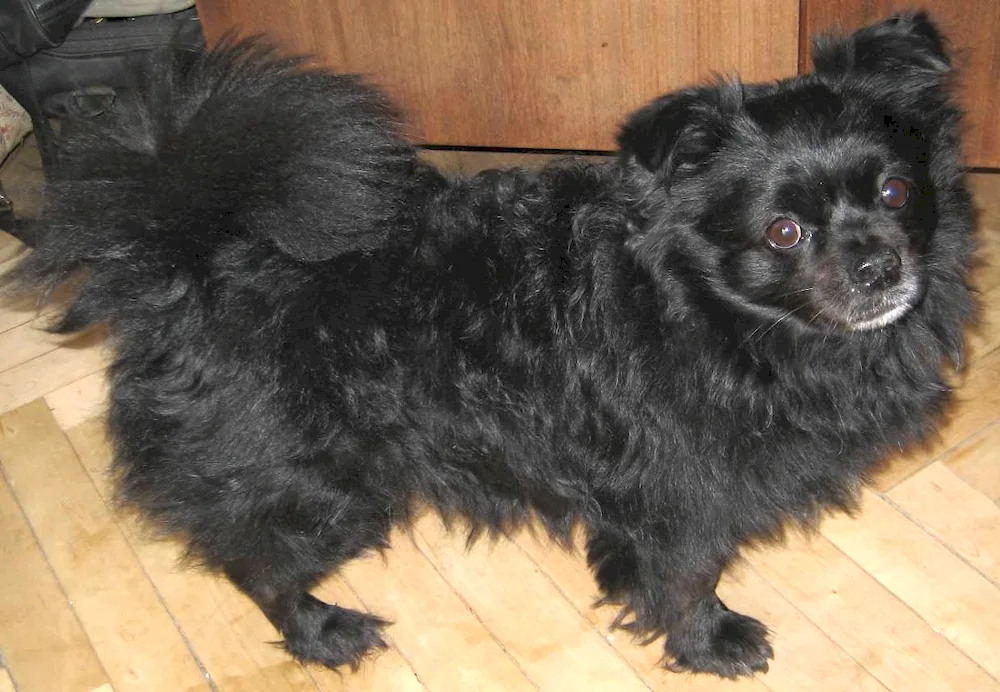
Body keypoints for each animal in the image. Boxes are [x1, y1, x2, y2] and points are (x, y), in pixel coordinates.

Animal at [5, 13, 976, 680]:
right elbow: (682, 576)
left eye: (895, 192)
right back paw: (323, 632)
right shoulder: (678, 492)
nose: (878, 265)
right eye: (782, 232)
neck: (720, 319)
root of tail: (195, 252)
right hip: (311, 482)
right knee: (258, 562)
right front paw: (711, 643)